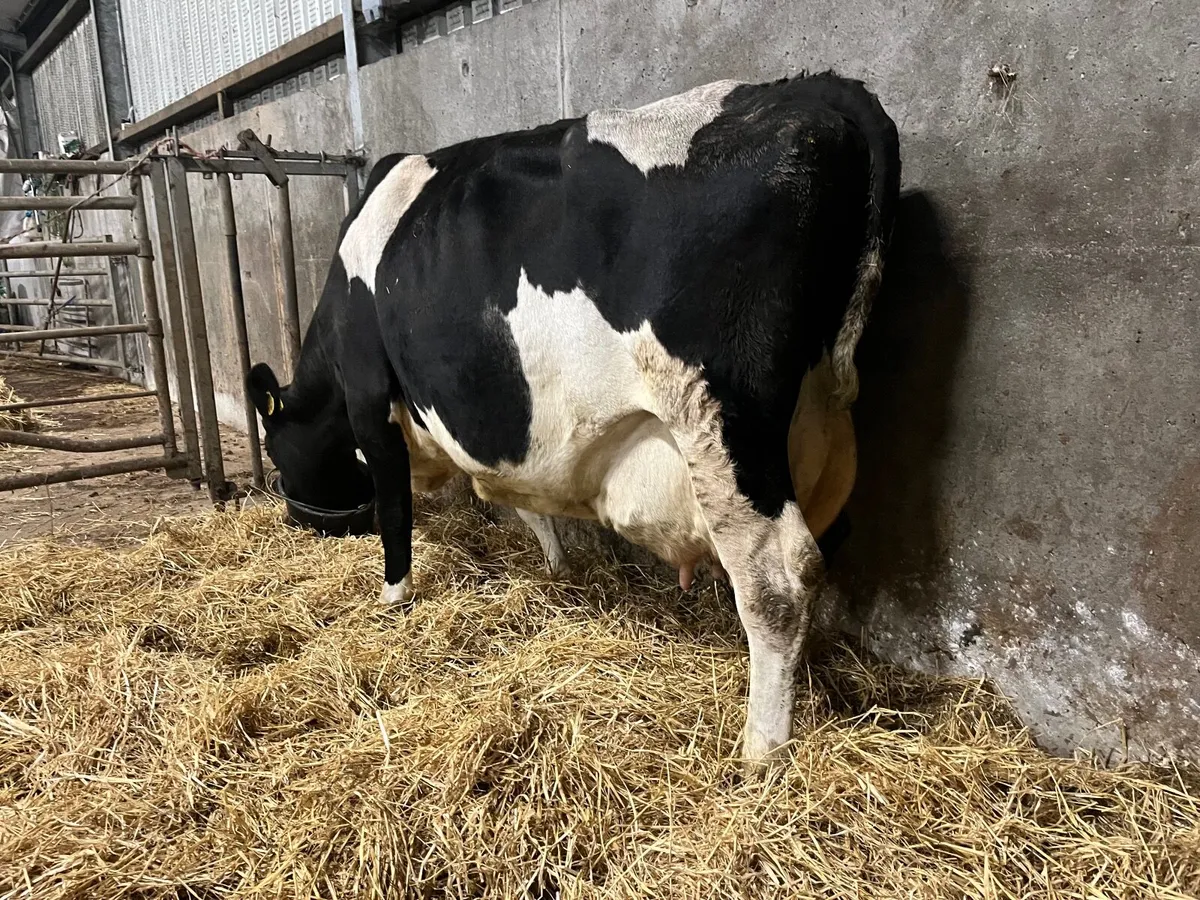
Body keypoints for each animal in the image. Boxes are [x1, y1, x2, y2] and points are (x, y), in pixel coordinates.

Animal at [247, 71, 900, 764]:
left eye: (276, 447)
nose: (298, 520)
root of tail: (815, 91)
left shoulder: (369, 395)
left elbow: (394, 507)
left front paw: (393, 596)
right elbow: (525, 501)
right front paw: (557, 567)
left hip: (720, 425)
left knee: (778, 580)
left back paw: (761, 747)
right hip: (816, 421)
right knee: (824, 550)